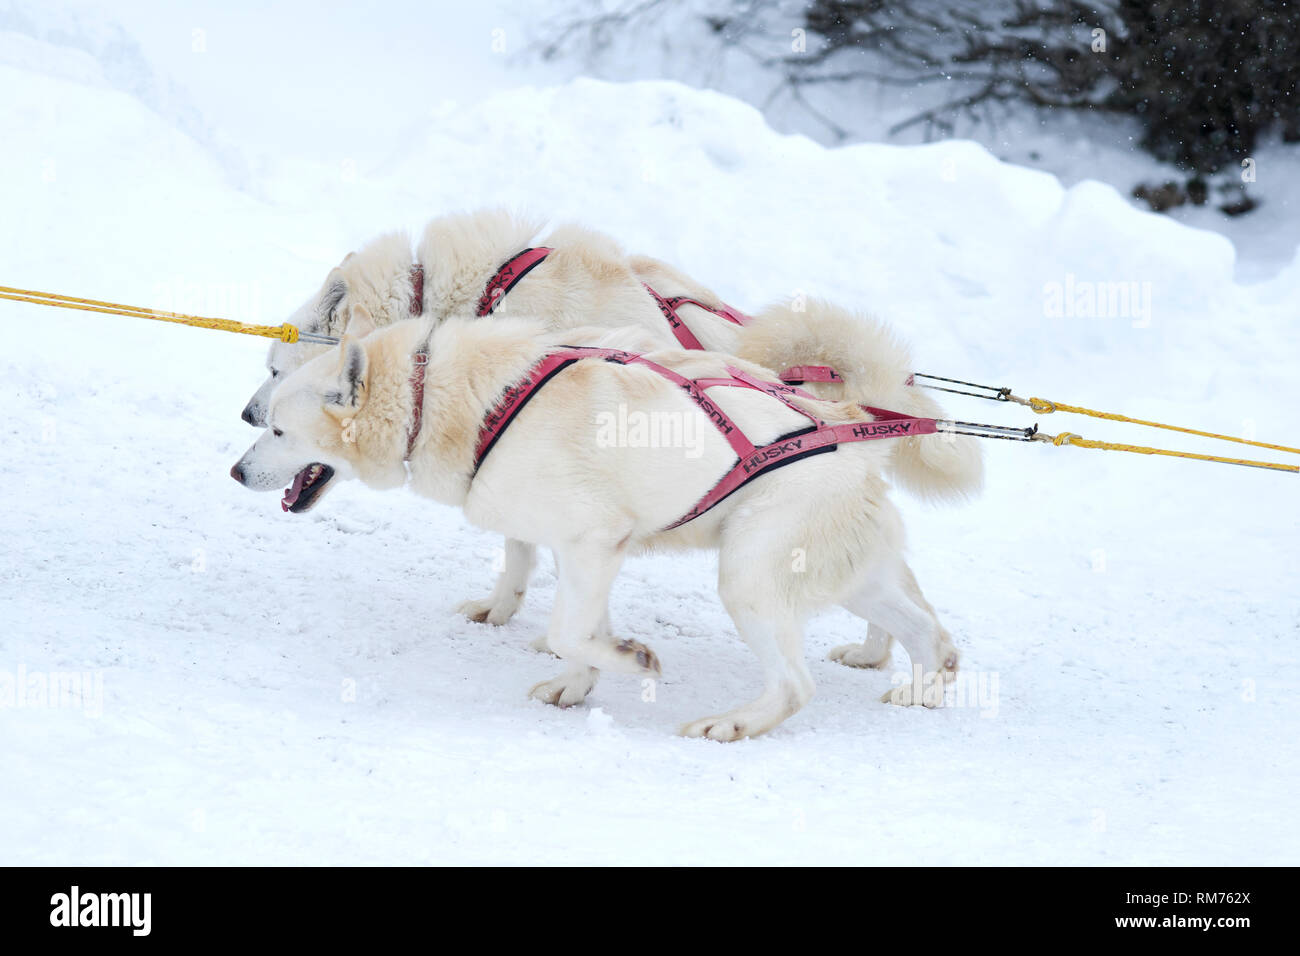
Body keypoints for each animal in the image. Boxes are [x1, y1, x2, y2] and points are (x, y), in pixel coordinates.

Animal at [231, 317, 967, 743]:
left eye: (277, 431)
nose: (236, 471)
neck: (447, 397)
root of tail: (851, 422)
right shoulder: (583, 552)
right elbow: (578, 628)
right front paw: (581, 682)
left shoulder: (591, 542)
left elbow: (567, 631)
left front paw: (627, 659)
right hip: (851, 579)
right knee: (931, 634)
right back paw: (924, 690)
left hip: (749, 578)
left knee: (795, 685)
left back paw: (733, 722)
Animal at [239, 213, 977, 671]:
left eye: (277, 373)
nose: (246, 416)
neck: (485, 295)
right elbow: (520, 546)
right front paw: (505, 608)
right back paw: (876, 653)